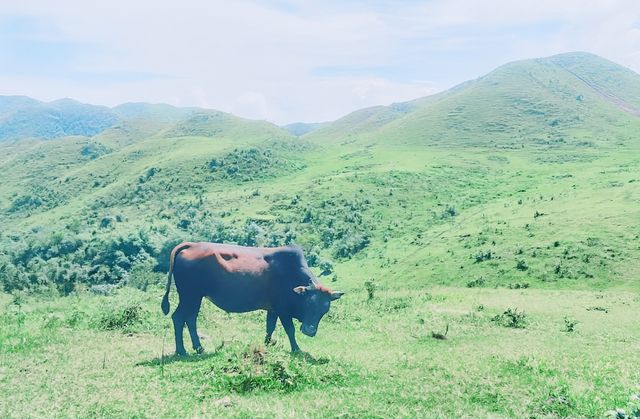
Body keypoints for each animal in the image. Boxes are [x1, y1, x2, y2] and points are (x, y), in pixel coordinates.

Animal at [162, 241, 342, 356]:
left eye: (325, 309)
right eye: (308, 303)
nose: (309, 331)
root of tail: (191, 245)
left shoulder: (273, 309)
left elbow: (270, 328)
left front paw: (267, 345)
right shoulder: (283, 310)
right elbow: (289, 330)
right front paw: (296, 349)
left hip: (192, 297)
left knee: (187, 319)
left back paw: (193, 349)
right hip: (190, 296)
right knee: (181, 318)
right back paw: (186, 350)